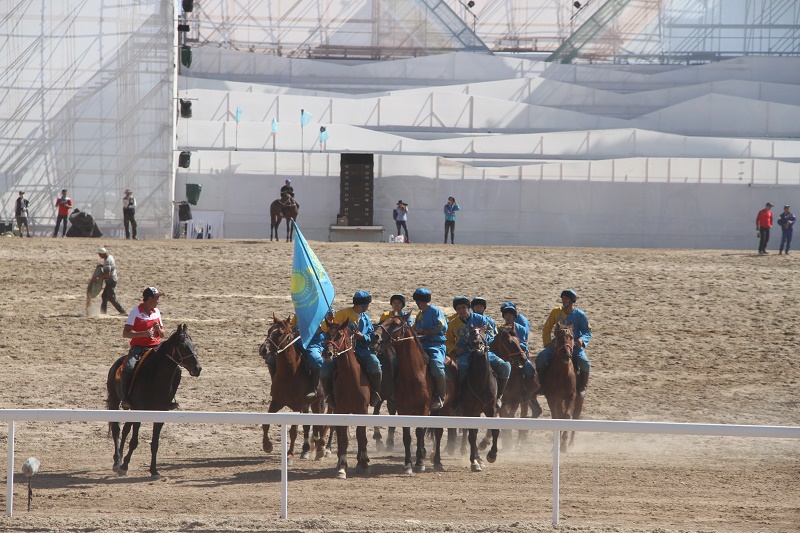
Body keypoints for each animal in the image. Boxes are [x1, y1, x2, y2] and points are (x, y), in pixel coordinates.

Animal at [105, 322, 203, 480]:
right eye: (182, 345)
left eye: (192, 344)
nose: (197, 368)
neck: (155, 379)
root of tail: (118, 362)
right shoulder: (139, 411)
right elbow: (134, 441)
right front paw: (124, 466)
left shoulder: (160, 414)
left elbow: (155, 443)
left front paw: (154, 471)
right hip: (115, 400)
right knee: (116, 429)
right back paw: (117, 462)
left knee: (125, 429)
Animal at [260, 314, 328, 464]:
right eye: (269, 330)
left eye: (280, 333)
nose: (263, 349)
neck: (289, 373)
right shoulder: (276, 401)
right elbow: (266, 424)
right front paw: (267, 445)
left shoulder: (297, 406)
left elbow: (293, 431)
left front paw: (290, 455)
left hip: (317, 402)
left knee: (321, 423)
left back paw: (321, 449)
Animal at [322, 320, 372, 478]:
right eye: (327, 334)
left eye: (339, 334)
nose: (327, 353)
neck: (351, 380)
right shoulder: (340, 411)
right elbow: (343, 438)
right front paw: (342, 467)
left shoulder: (362, 410)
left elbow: (361, 436)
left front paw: (364, 464)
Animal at [456, 326, 500, 472]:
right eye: (470, 333)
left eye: (484, 331)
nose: (477, 344)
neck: (482, 383)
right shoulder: (470, 410)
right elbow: (472, 436)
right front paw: (474, 462)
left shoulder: (491, 409)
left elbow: (495, 431)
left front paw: (491, 455)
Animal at [536, 322, 580, 450]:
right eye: (559, 337)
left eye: (571, 337)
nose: (566, 355)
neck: (563, 374)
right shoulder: (552, 398)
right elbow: (556, 418)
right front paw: (558, 444)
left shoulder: (571, 396)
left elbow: (567, 416)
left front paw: (564, 444)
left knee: (576, 415)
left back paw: (571, 443)